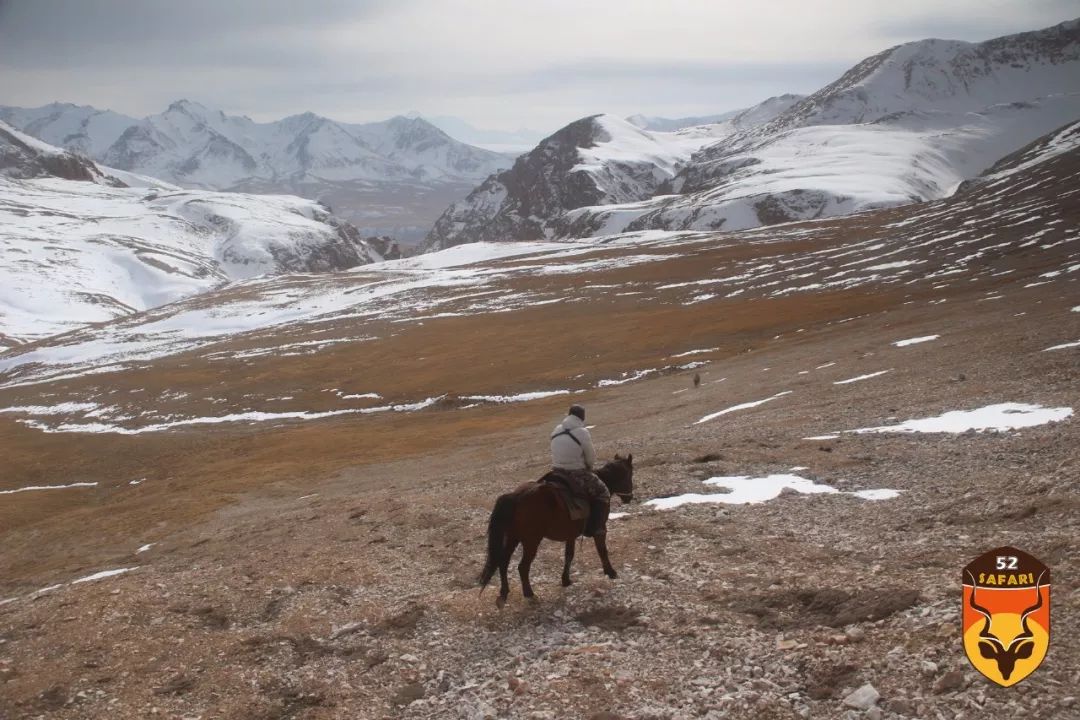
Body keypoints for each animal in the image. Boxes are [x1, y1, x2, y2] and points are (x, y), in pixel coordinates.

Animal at [479, 455, 630, 608]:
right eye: (629, 474)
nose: (629, 498)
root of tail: (515, 496)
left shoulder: (570, 535)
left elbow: (569, 555)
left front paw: (566, 580)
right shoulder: (600, 530)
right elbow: (602, 550)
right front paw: (611, 572)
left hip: (512, 538)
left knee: (503, 562)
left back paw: (503, 594)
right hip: (531, 541)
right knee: (522, 566)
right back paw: (529, 594)